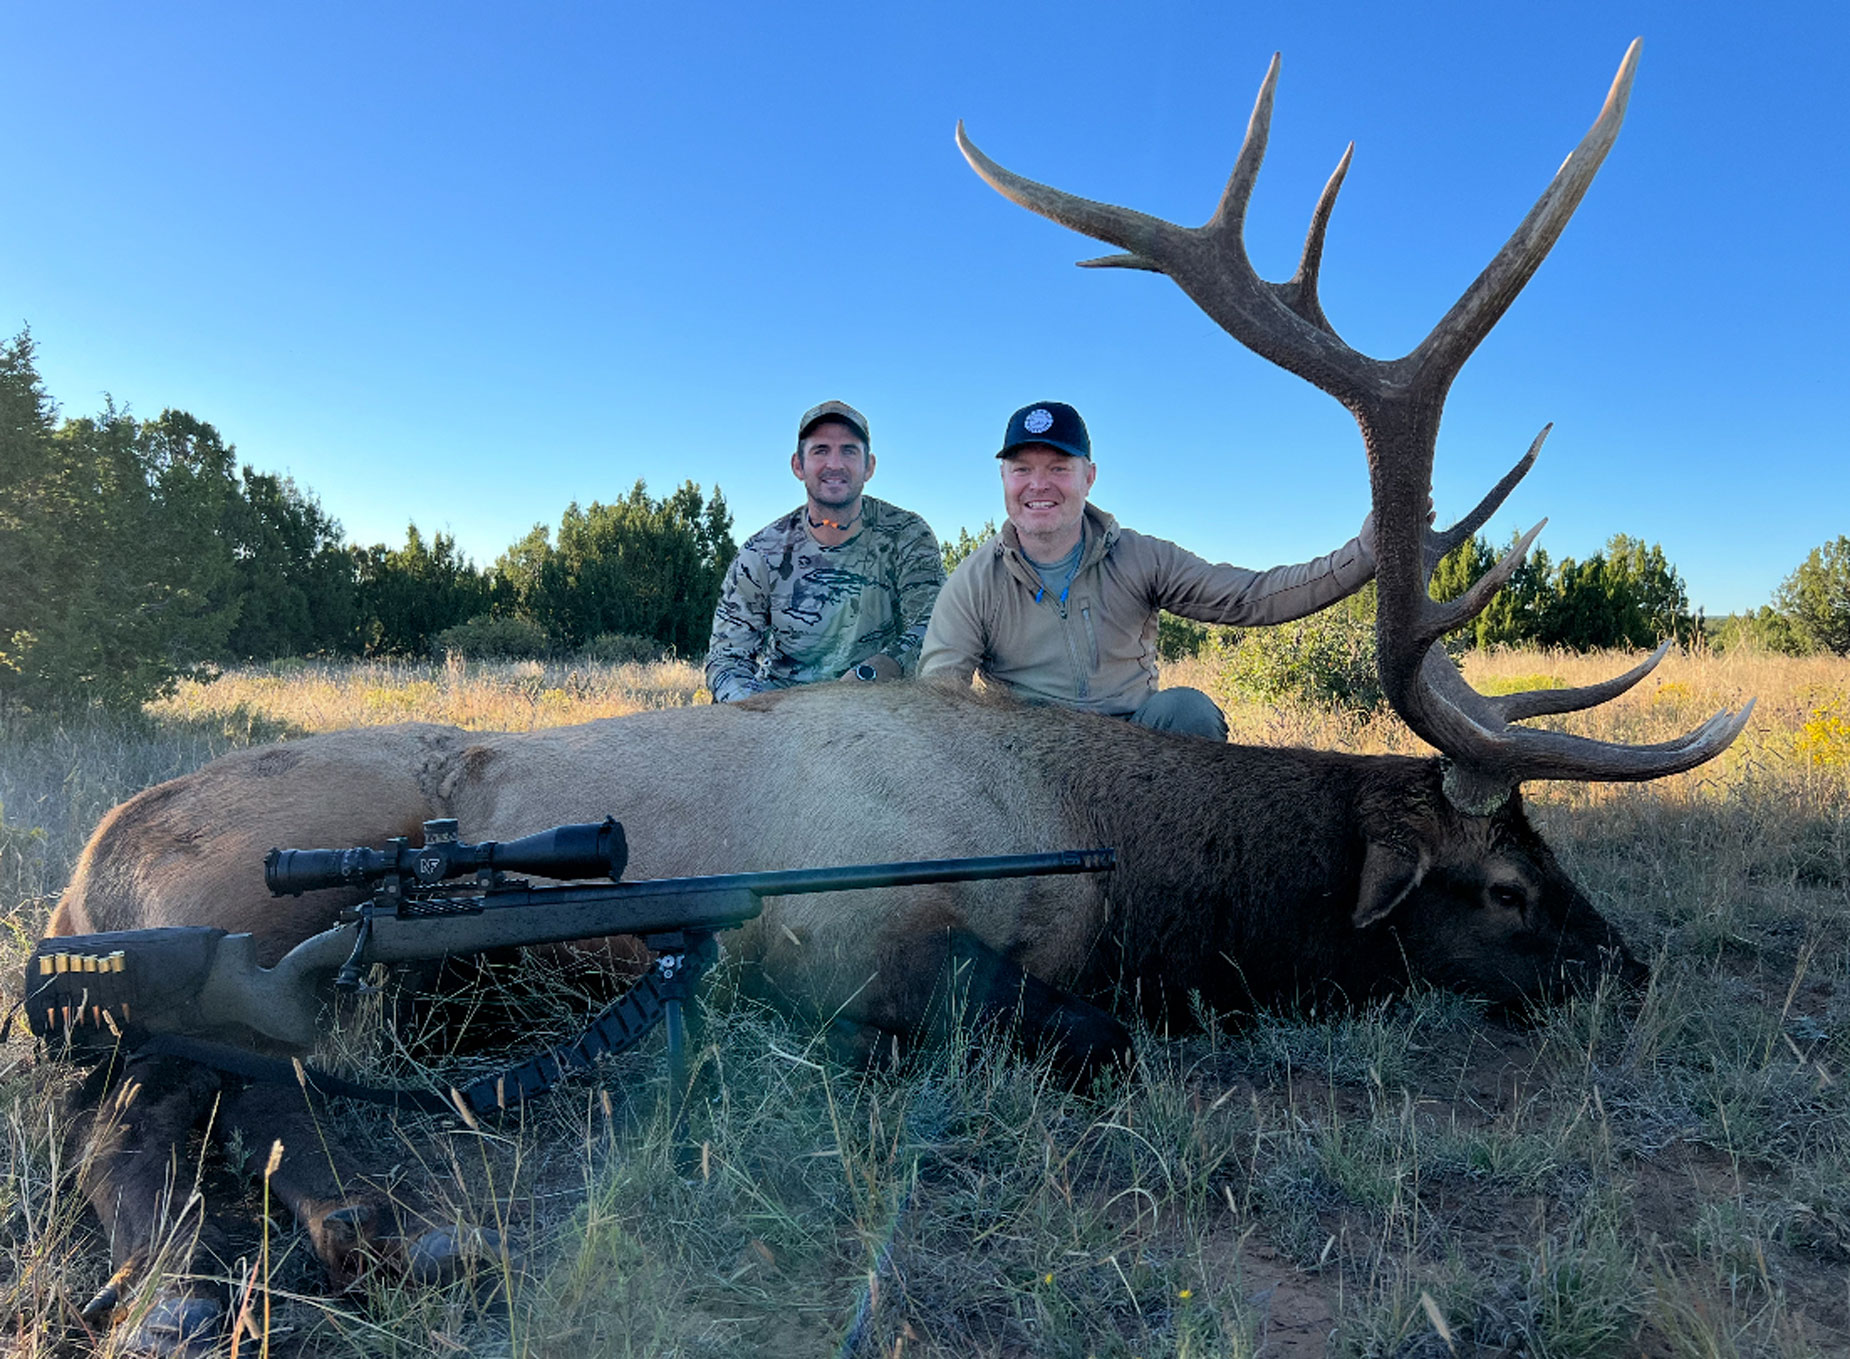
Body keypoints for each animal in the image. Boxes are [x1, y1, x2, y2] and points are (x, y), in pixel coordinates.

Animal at [36, 40, 1750, 1357]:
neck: (1120, 861)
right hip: (246, 914)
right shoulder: (880, 965)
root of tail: (84, 871)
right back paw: (210, 1285)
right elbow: (1081, 1036)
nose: (1628, 968)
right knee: (150, 1102)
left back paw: (361, 1236)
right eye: (1505, 880)